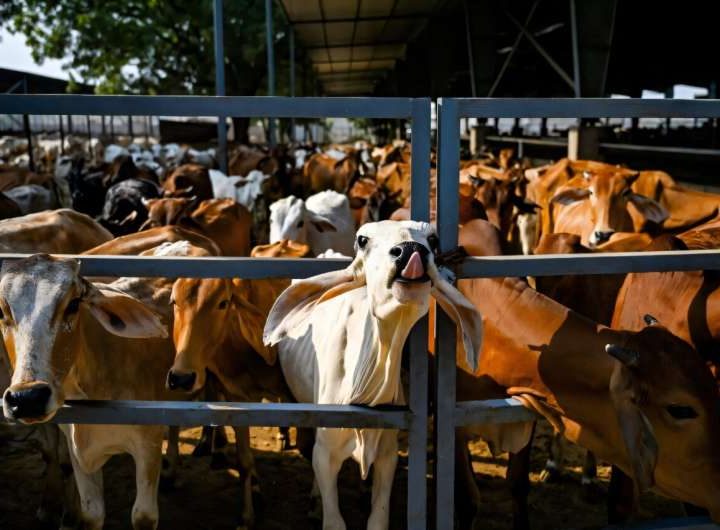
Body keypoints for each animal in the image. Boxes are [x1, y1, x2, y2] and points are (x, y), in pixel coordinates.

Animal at [264, 220, 482, 530]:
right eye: (363, 240)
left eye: (432, 239)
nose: (410, 250)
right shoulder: (325, 453)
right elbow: (334, 519)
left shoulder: (387, 455)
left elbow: (378, 519)